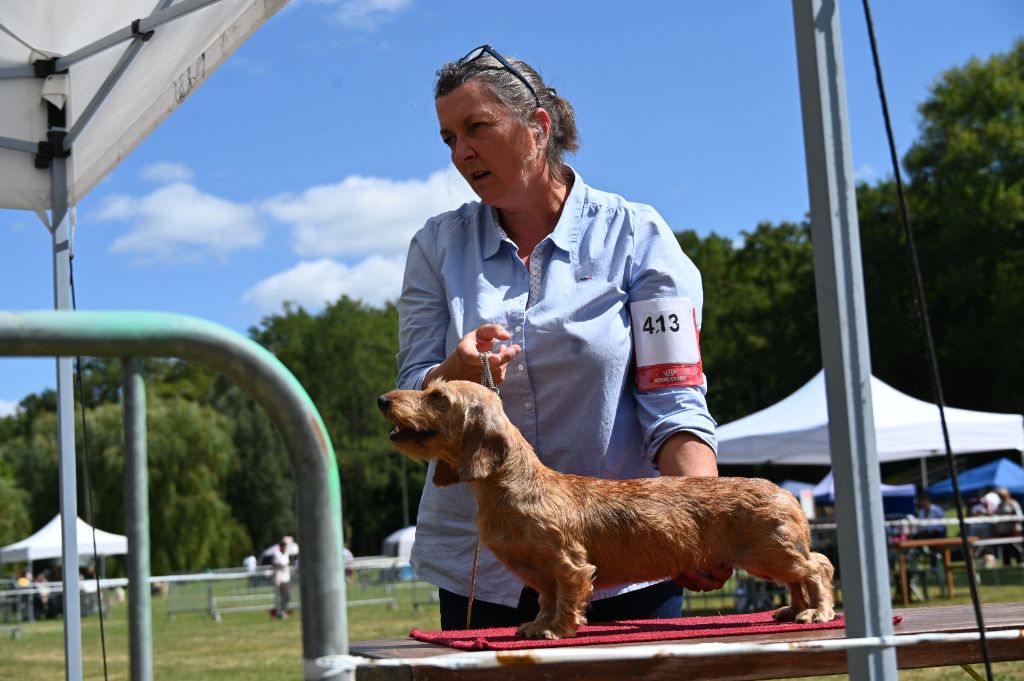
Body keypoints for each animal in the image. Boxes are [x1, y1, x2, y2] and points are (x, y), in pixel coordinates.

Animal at [376, 376, 831, 639]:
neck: (512, 488)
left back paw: (818, 612)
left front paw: (557, 631)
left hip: (769, 554)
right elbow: (546, 599)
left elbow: (568, 596)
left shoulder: (568, 563)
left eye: (438, 396)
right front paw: (536, 625)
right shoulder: (540, 574)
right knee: (800, 579)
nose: (383, 399)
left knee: (819, 568)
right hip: (771, 560)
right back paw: (794, 610)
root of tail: (786, 494)